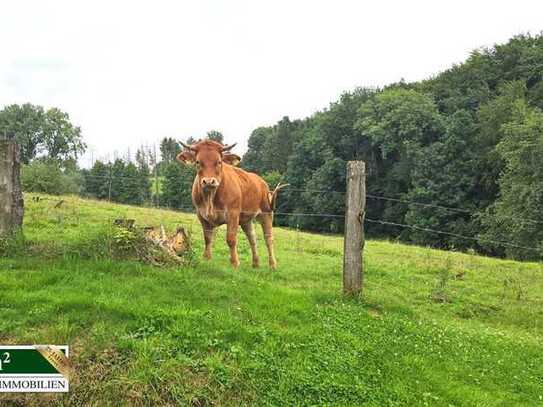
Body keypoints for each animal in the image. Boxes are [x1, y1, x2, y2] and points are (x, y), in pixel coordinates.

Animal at [177, 139, 288, 270]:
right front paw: (206, 258)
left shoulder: (233, 214)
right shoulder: (201, 215)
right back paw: (255, 263)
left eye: (219, 162)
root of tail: (261, 181)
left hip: (266, 213)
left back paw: (272, 264)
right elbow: (208, 238)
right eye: (198, 162)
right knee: (252, 238)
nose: (209, 181)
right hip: (246, 220)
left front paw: (234, 262)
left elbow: (231, 239)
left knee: (268, 238)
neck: (210, 199)